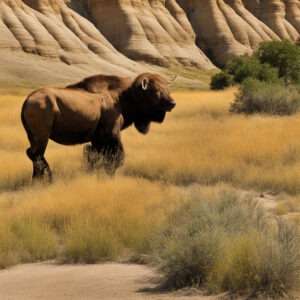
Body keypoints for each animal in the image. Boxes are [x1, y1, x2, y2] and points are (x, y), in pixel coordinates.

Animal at [21, 72, 176, 180]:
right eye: (155, 91)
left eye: (166, 88)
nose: (172, 103)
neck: (122, 96)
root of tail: (28, 99)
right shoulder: (112, 134)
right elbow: (115, 158)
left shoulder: (97, 140)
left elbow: (95, 157)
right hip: (42, 137)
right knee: (36, 155)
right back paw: (46, 179)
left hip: (34, 137)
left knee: (34, 155)